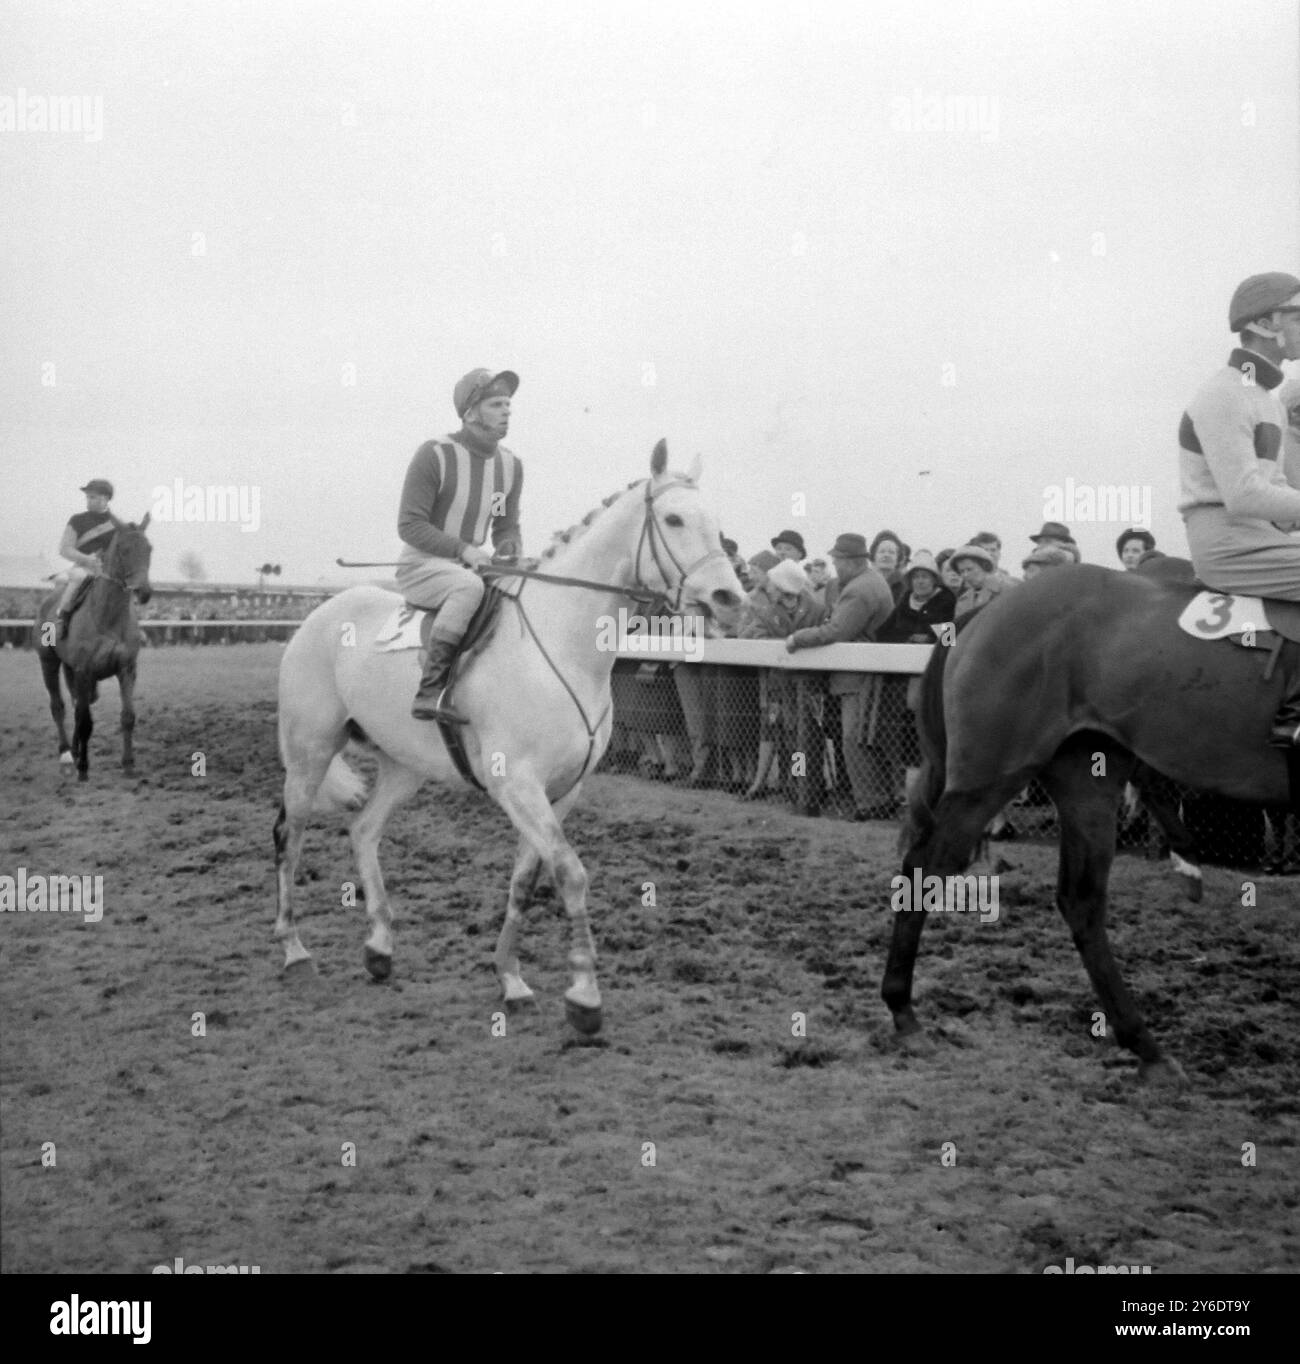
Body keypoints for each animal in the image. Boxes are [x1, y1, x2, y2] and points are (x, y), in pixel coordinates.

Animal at [35, 515, 153, 785]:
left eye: (149, 548)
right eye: (124, 549)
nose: (143, 592)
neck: (108, 618)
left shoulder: (126, 670)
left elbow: (127, 716)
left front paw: (128, 764)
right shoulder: (84, 671)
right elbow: (85, 720)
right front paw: (83, 768)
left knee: (77, 706)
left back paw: (75, 750)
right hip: (49, 663)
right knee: (59, 707)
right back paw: (67, 755)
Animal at [274, 444, 742, 1031]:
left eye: (717, 523)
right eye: (675, 519)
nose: (731, 597)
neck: (563, 647)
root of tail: (320, 612)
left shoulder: (561, 793)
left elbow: (526, 882)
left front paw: (512, 980)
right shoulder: (517, 785)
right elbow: (571, 874)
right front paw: (585, 996)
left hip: (405, 767)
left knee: (363, 831)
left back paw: (380, 947)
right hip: (309, 752)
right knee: (290, 836)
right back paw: (294, 950)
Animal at [883, 559, 1287, 1080]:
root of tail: (988, 609)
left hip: (1087, 777)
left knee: (1081, 898)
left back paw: (1145, 1044)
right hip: (994, 772)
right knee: (925, 865)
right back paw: (903, 1012)